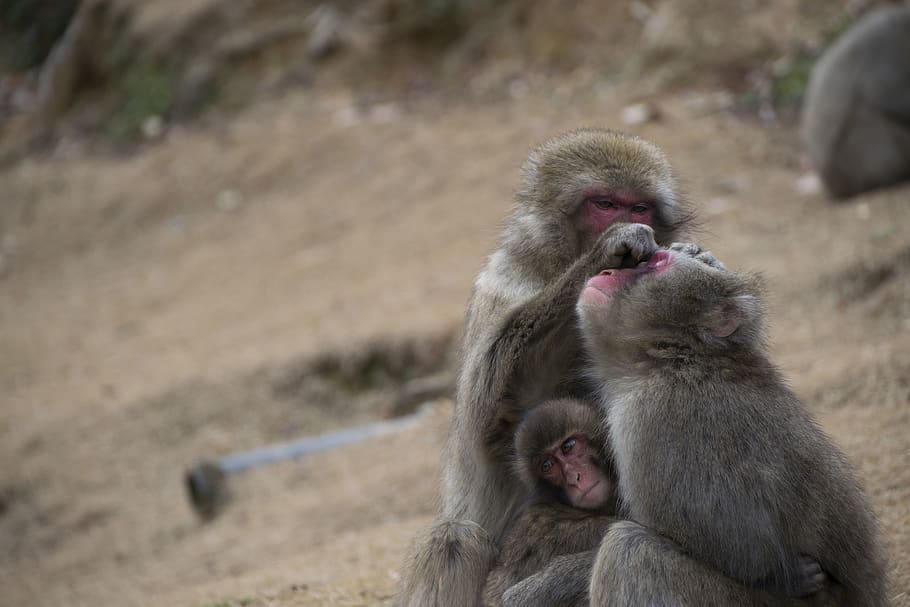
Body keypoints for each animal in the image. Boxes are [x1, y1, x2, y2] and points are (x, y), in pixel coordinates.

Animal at [575, 247, 888, 606]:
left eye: (655, 263)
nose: (607, 272)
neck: (680, 358)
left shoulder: (658, 416)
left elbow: (743, 541)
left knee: (629, 551)